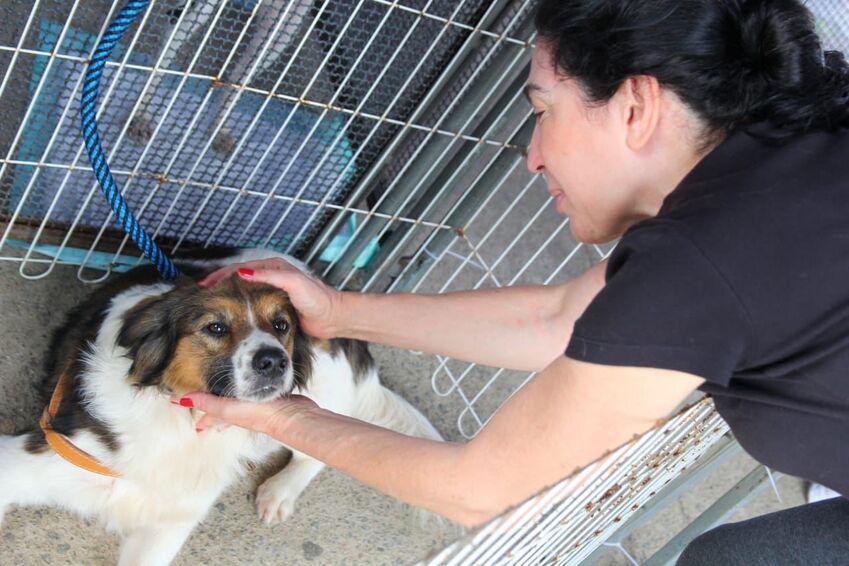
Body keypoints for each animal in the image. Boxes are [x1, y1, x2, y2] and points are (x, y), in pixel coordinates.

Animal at [0, 251, 438, 564]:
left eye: (282, 325)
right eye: (215, 327)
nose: (274, 361)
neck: (177, 419)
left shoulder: (172, 522)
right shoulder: (32, 459)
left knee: (318, 452)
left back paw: (280, 492)